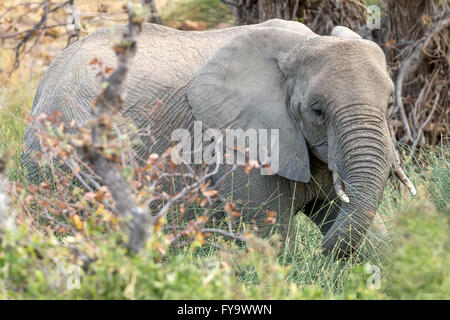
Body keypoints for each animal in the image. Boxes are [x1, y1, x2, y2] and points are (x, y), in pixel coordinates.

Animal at [22, 18, 414, 256]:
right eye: (317, 111)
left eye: (389, 104)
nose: (318, 256)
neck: (302, 44)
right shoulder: (244, 143)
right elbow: (266, 239)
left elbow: (363, 229)